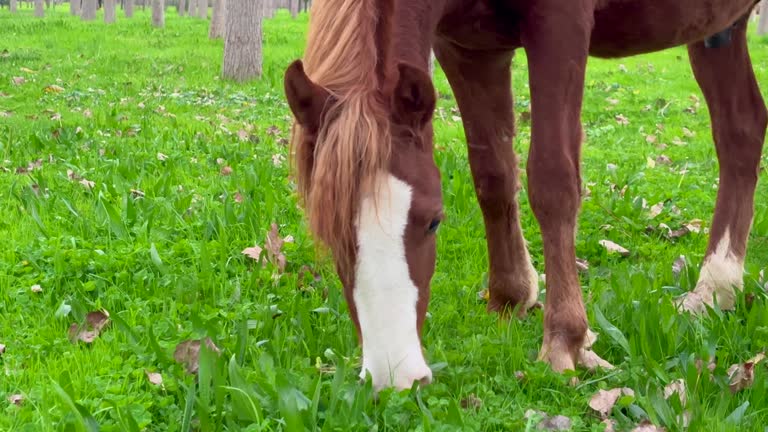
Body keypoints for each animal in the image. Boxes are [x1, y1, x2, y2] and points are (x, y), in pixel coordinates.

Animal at [284, 0, 768, 390]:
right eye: (327, 233)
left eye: (434, 220)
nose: (394, 377)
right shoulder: (467, 48)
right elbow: (493, 175)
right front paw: (510, 296)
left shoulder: (560, 26)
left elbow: (552, 181)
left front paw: (566, 341)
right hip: (718, 30)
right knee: (741, 129)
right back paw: (717, 289)